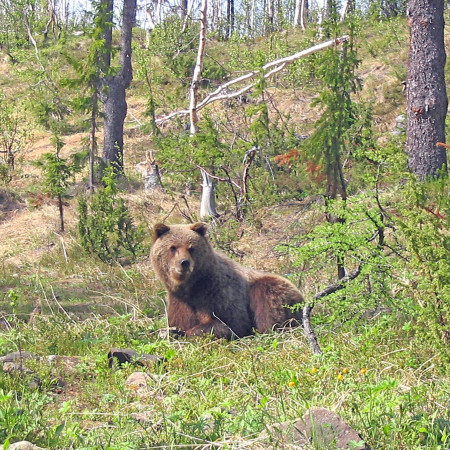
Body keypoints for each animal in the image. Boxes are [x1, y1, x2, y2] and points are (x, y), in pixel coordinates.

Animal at [150, 221, 302, 338]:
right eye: (173, 247)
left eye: (191, 247)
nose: (184, 262)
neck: (192, 286)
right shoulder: (179, 301)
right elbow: (178, 321)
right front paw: (170, 332)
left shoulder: (218, 291)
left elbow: (231, 323)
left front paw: (189, 333)